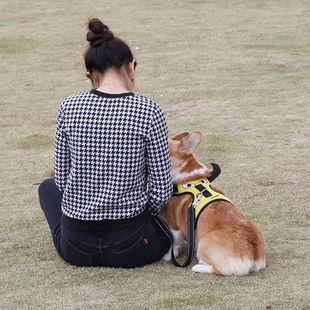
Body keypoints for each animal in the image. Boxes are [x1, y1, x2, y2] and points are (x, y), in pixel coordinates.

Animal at [163, 131, 266, 276]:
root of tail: (253, 255)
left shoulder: (173, 222)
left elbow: (174, 241)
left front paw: (169, 256)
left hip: (203, 245)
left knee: (218, 269)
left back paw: (198, 266)